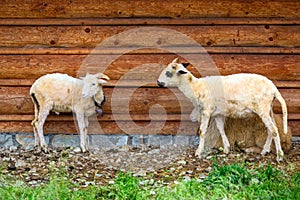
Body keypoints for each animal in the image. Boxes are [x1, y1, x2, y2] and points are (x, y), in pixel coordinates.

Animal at [157, 57, 288, 161]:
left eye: (168, 73)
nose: (158, 82)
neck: (195, 87)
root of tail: (273, 88)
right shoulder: (217, 114)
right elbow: (221, 129)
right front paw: (226, 148)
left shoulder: (206, 111)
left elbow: (202, 131)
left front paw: (198, 152)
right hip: (268, 109)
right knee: (271, 129)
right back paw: (265, 151)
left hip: (263, 108)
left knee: (274, 130)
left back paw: (279, 156)